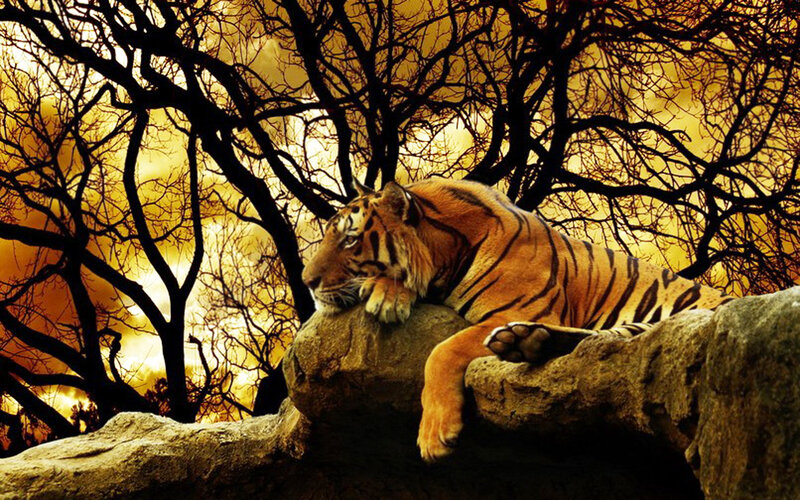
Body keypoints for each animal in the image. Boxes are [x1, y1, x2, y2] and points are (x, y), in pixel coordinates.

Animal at [301, 177, 733, 462]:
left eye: (350, 240)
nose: (306, 282)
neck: (447, 251)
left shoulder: (519, 309)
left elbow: (442, 351)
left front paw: (435, 435)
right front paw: (387, 293)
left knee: (606, 345)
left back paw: (519, 342)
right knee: (599, 342)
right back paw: (525, 342)